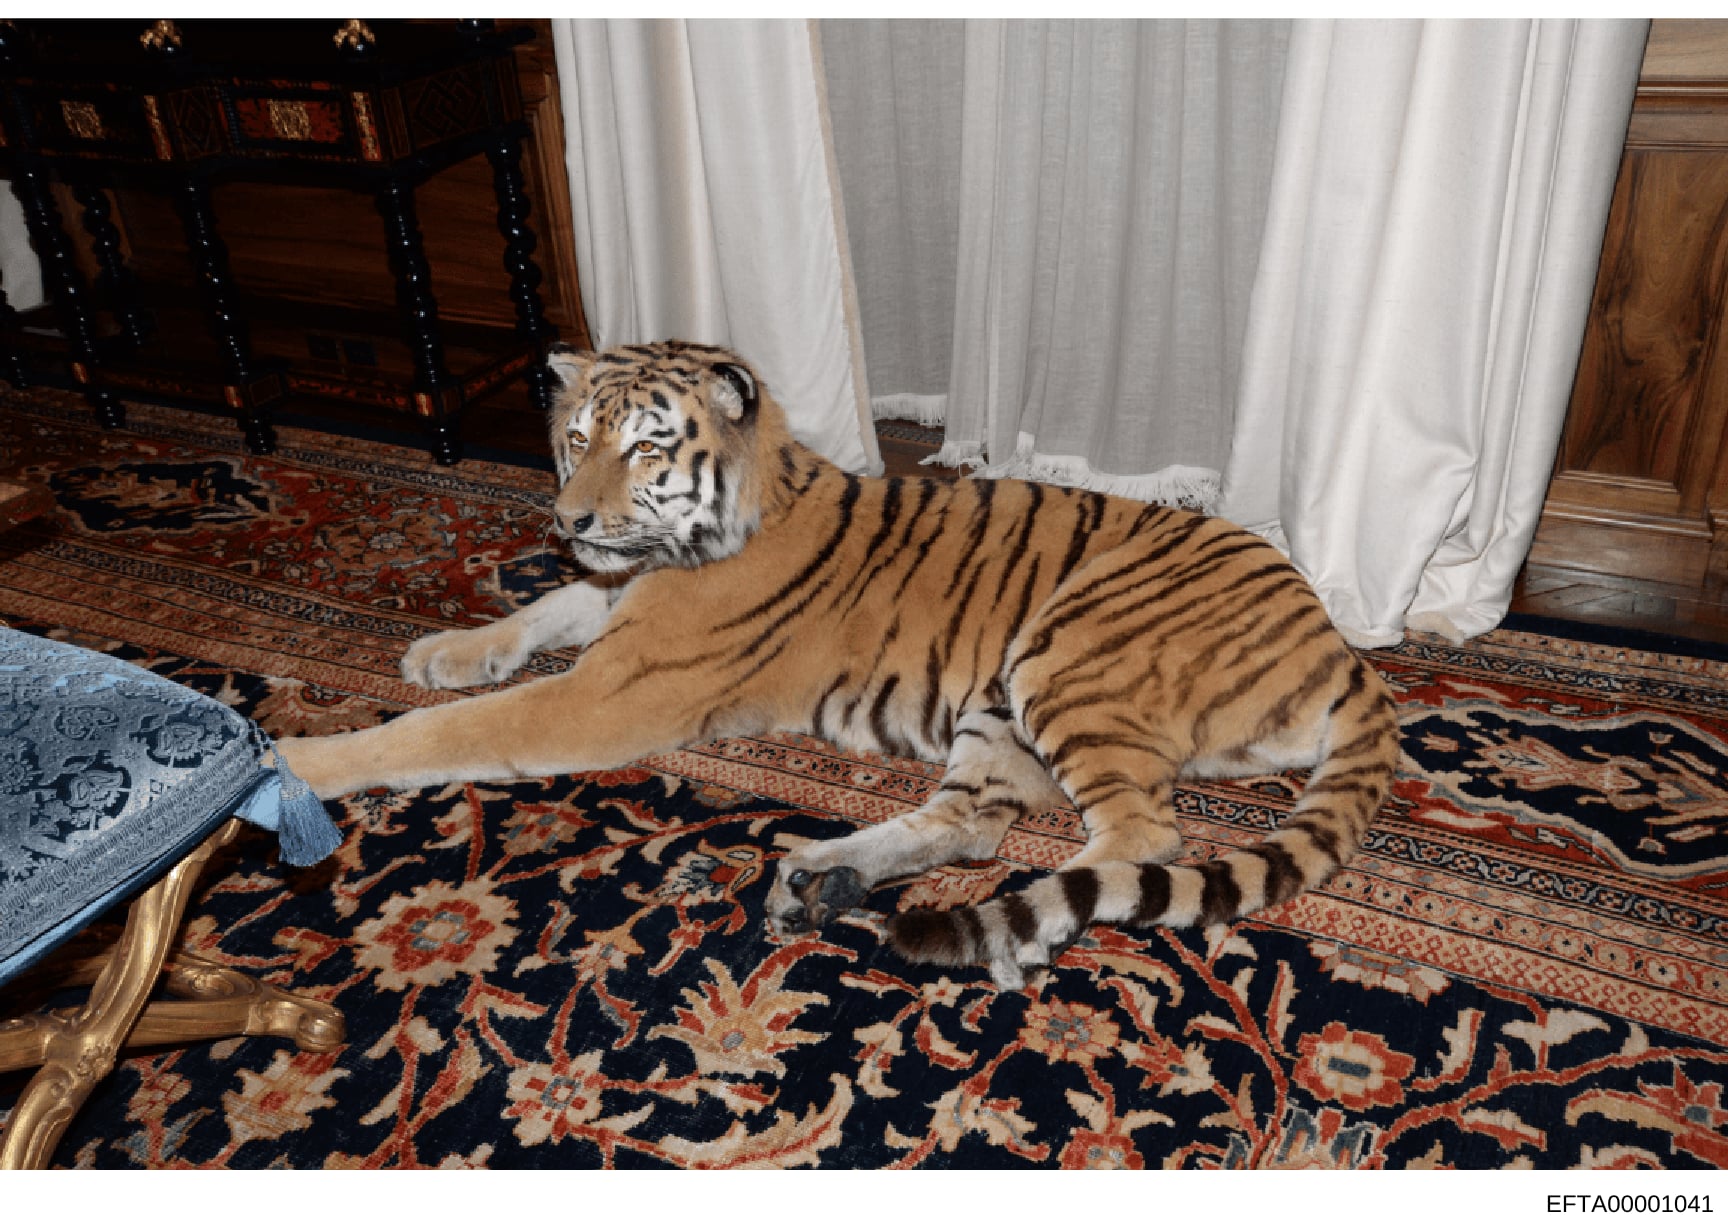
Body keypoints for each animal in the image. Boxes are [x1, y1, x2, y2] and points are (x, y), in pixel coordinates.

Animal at [277, 340, 1400, 989]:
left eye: (644, 447)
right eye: (576, 438)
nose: (569, 520)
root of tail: (1339, 647)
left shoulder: (607, 694)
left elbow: (436, 733)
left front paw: (294, 763)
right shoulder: (611, 605)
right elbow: (545, 606)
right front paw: (442, 648)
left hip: (1069, 650)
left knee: (1142, 838)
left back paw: (1013, 929)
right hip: (999, 709)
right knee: (974, 822)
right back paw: (822, 878)